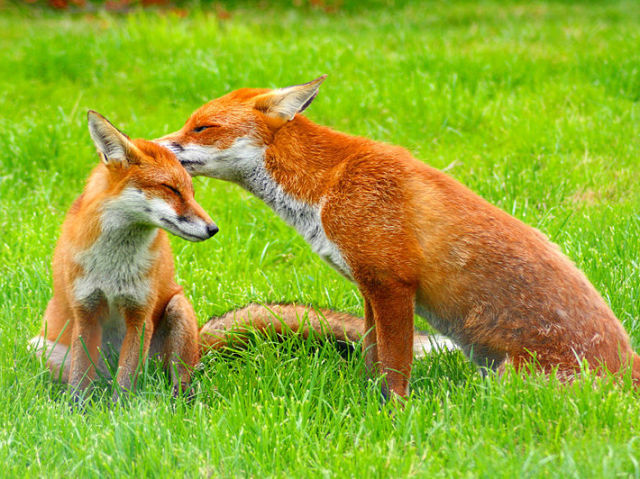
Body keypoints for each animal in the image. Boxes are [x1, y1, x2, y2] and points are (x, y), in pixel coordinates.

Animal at [30, 110, 220, 400]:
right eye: (171, 189)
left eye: (191, 192)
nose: (213, 229)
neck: (112, 267)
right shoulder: (85, 310)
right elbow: (79, 381)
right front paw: (76, 409)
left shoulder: (139, 314)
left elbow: (126, 382)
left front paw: (121, 409)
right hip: (39, 347)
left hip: (178, 311)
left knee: (178, 382)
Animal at [158, 75, 640, 398]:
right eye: (188, 124)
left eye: (201, 128)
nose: (154, 146)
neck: (328, 185)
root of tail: (627, 367)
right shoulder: (370, 287)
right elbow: (372, 358)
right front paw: (366, 404)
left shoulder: (393, 284)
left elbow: (395, 368)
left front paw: (393, 414)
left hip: (506, 381)